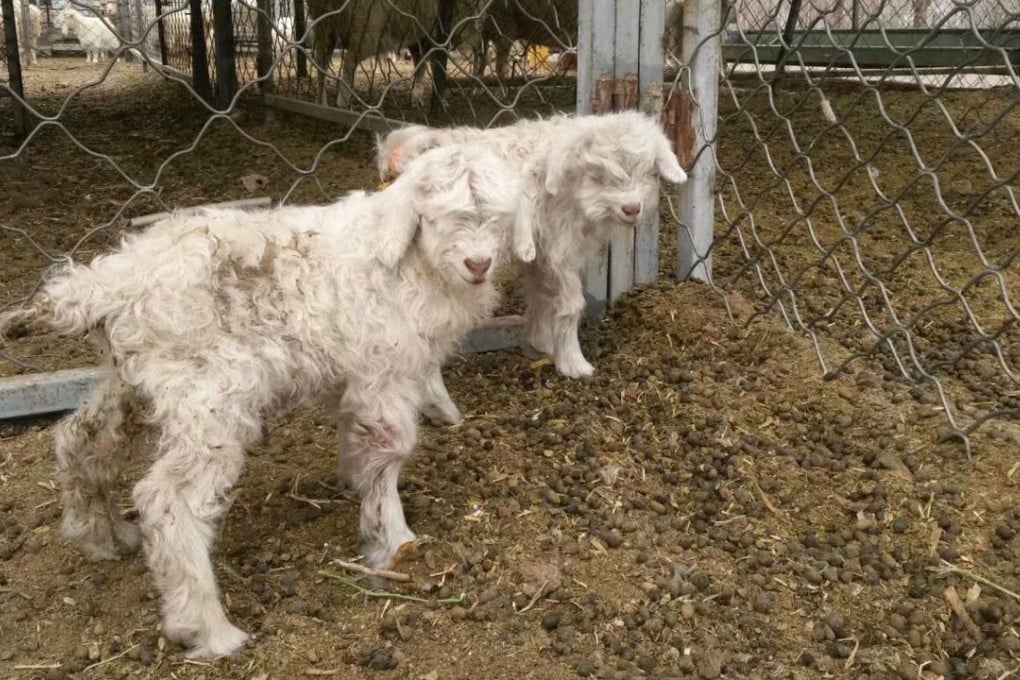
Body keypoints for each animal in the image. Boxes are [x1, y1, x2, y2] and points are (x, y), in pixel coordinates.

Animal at [0, 144, 535, 660]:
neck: (410, 263)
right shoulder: (386, 368)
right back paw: (207, 629)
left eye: (498, 217)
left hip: (133, 378)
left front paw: (352, 479)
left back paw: (100, 537)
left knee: (81, 440)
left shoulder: (357, 371)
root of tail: (103, 287)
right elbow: (392, 448)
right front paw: (394, 543)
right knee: (169, 499)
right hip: (208, 395)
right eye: (438, 217)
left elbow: (356, 431)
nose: (478, 265)